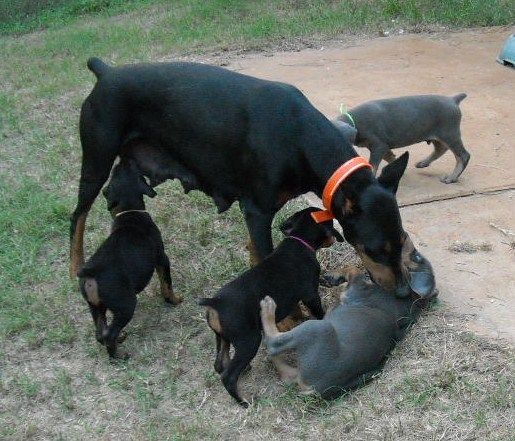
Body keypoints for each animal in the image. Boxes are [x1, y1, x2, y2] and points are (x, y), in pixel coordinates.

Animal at [76, 158, 181, 358]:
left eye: (114, 173)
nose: (122, 159)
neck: (129, 211)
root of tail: (91, 272)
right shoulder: (162, 259)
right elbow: (167, 284)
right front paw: (174, 300)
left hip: (95, 306)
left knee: (100, 333)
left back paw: (119, 340)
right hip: (126, 305)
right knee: (109, 333)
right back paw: (118, 356)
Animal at [200, 208, 344, 408]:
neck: (298, 239)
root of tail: (215, 302)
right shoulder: (310, 295)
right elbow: (319, 312)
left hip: (222, 337)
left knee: (219, 363)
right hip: (248, 340)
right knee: (228, 376)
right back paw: (243, 401)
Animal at [260, 234, 438, 398]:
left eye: (416, 256)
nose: (405, 235)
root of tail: (317, 389)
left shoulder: (354, 290)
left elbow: (354, 269)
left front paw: (333, 276)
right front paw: (332, 277)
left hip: (317, 328)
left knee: (273, 343)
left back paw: (267, 309)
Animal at [334, 93, 472, 182]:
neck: (354, 120)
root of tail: (453, 99)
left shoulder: (378, 145)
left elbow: (373, 165)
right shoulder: (383, 146)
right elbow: (389, 156)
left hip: (449, 132)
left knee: (463, 155)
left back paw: (452, 178)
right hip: (439, 135)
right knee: (441, 149)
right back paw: (424, 163)